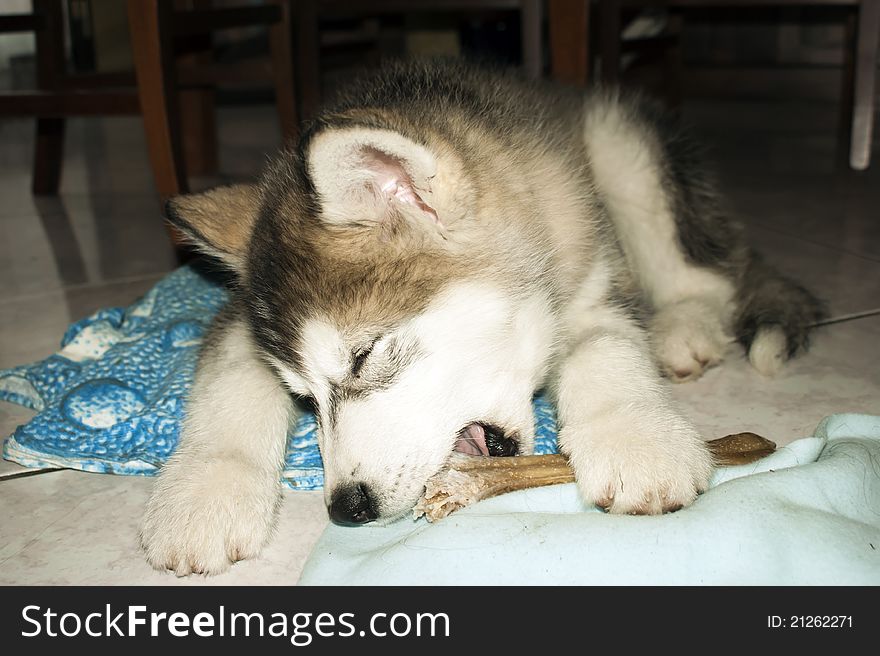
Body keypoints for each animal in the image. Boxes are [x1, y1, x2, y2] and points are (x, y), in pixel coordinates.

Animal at [139, 60, 824, 576]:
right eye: (302, 396)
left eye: (364, 356)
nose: (346, 509)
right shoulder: (235, 319)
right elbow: (232, 379)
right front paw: (202, 495)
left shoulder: (591, 288)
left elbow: (608, 349)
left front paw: (640, 439)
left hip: (623, 151)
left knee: (706, 276)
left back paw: (685, 329)